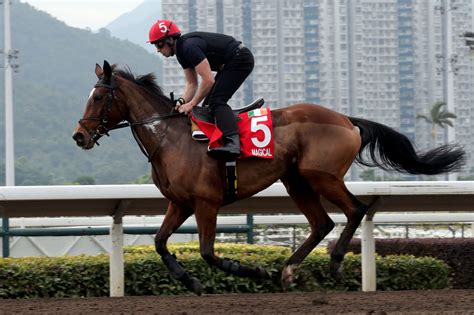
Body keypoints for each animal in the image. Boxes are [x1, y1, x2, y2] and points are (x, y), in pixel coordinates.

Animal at [72, 60, 464, 296]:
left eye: (100, 96)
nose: (79, 136)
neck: (172, 138)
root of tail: (347, 120)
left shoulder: (206, 202)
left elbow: (208, 252)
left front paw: (252, 272)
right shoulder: (179, 203)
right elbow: (159, 243)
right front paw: (192, 282)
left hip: (321, 176)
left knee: (355, 210)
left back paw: (334, 263)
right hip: (296, 181)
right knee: (322, 222)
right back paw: (289, 270)